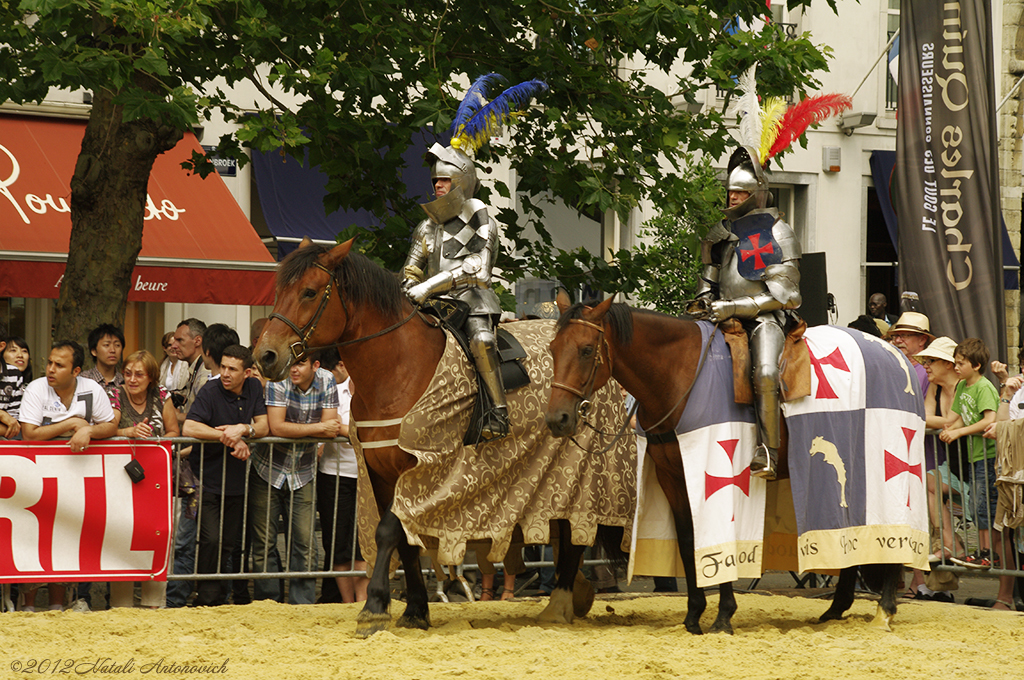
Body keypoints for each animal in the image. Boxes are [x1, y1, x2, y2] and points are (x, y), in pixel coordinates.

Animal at [253, 240, 630, 639]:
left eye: (309, 292)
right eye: (279, 291)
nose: (266, 356)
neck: (396, 367)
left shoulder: (418, 468)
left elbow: (389, 532)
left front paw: (374, 608)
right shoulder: (380, 473)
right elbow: (405, 543)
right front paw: (415, 609)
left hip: (581, 476)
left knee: (574, 536)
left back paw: (559, 605)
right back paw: (575, 595)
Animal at [548, 294, 909, 634]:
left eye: (585, 349)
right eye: (552, 348)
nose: (558, 418)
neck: (679, 375)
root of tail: (895, 354)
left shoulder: (720, 468)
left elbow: (721, 534)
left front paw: (723, 616)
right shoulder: (673, 476)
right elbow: (689, 539)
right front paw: (693, 616)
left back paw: (885, 610)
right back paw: (837, 608)